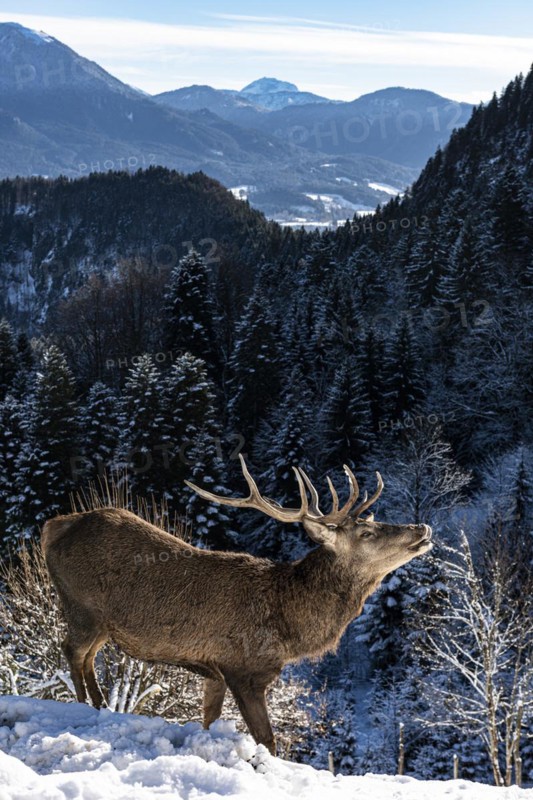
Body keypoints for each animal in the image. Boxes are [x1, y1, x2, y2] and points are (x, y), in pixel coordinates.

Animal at [42, 456, 432, 755]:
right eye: (367, 533)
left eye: (371, 522)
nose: (422, 528)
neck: (289, 625)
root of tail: (52, 528)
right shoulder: (243, 668)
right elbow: (267, 739)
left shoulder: (213, 670)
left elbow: (209, 719)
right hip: (82, 607)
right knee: (72, 650)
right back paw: (86, 708)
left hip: (102, 624)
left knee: (87, 658)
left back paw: (101, 705)